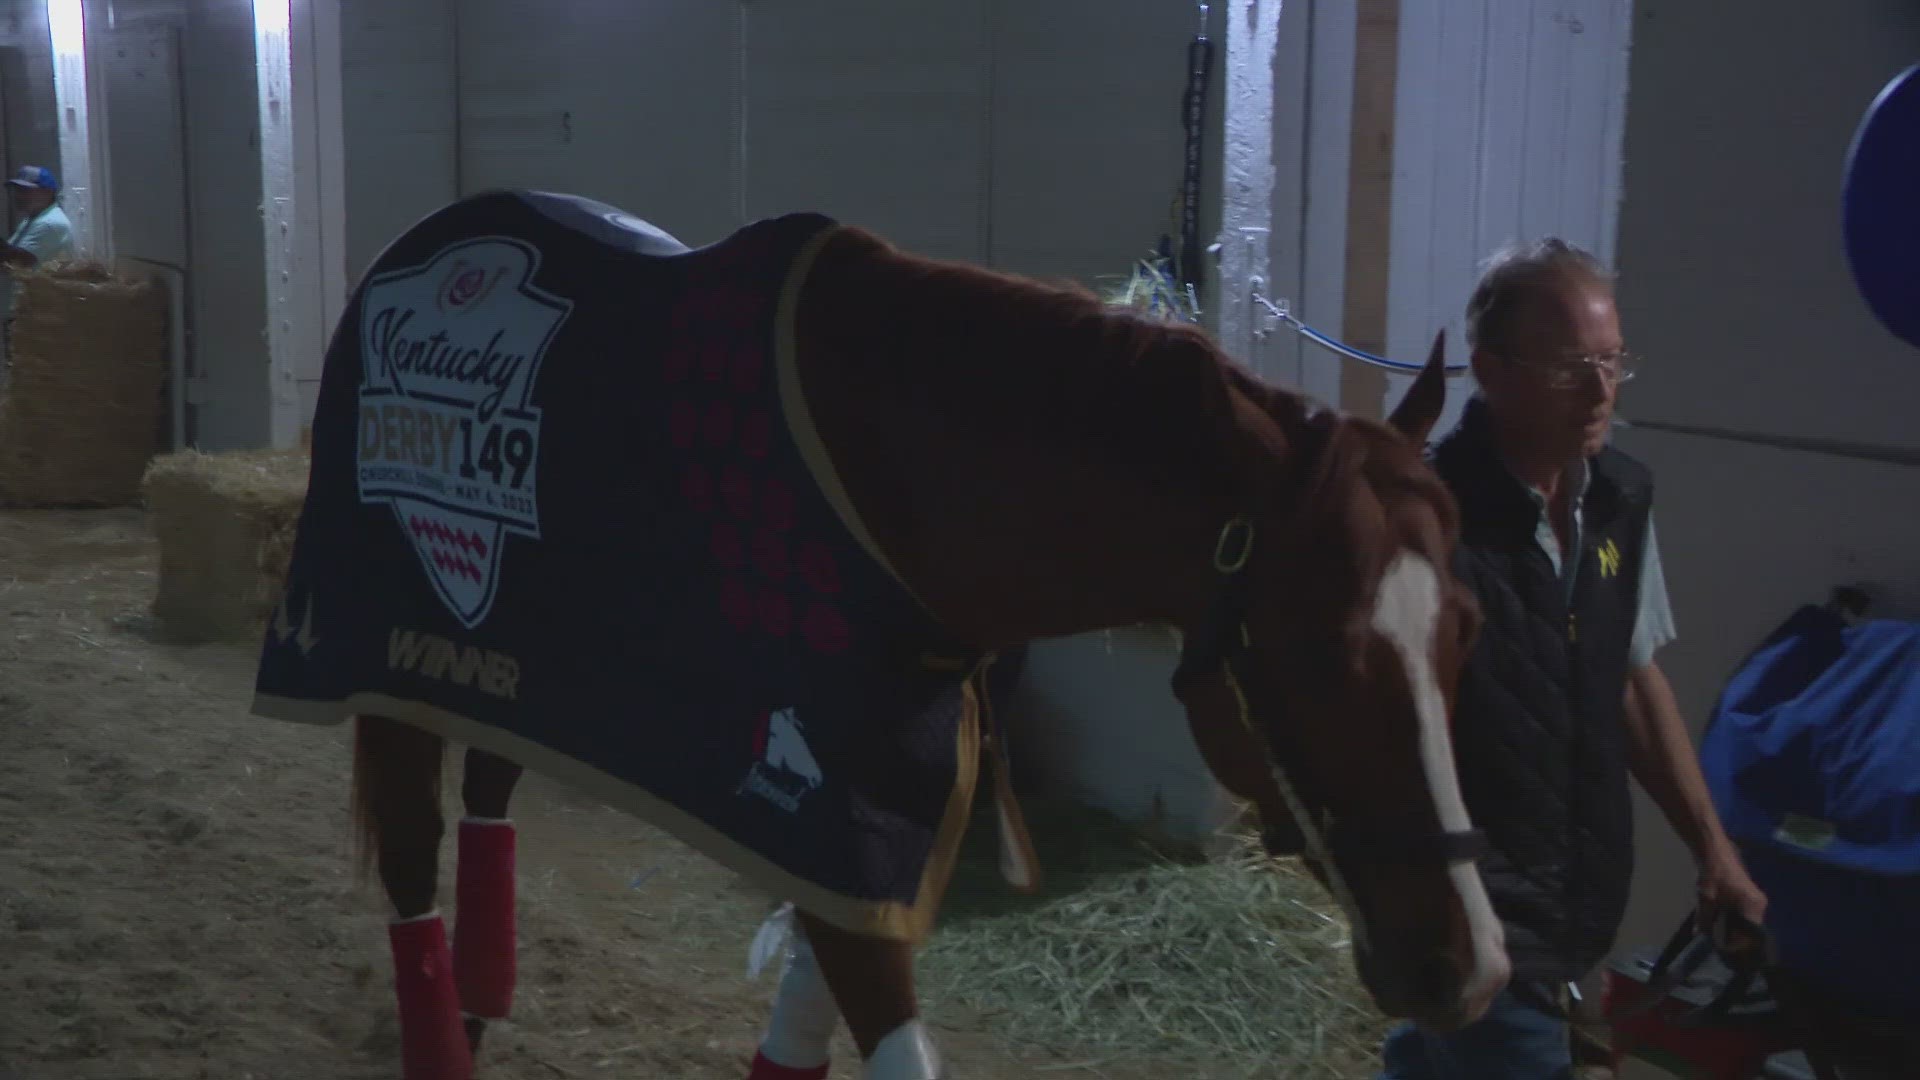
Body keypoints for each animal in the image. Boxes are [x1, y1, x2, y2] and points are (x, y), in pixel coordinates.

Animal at [284, 189, 1505, 1068]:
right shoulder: (823, 827)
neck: (899, 489)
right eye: (1316, 649)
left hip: (514, 671)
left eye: (1467, 635)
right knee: (412, 860)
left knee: (490, 796)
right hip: (377, 661)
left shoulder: (867, 840)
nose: (1468, 966)